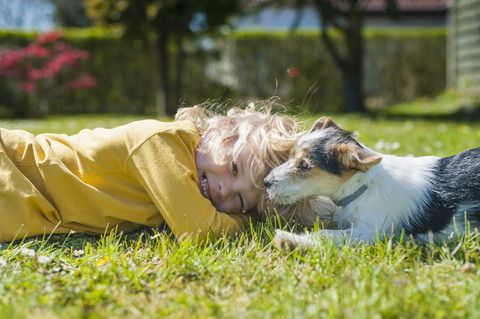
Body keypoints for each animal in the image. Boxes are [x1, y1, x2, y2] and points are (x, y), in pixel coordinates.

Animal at [264, 117, 480, 250]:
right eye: (291, 155)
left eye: (304, 165)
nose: (265, 182)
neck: (364, 186)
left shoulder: (369, 231)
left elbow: (325, 235)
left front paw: (290, 240)